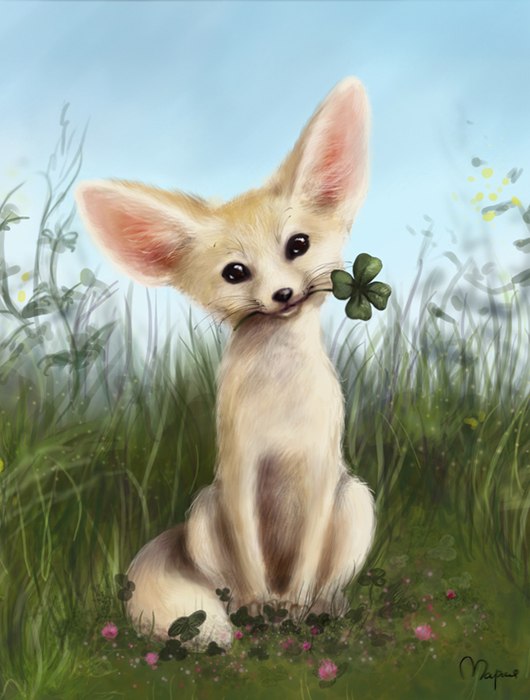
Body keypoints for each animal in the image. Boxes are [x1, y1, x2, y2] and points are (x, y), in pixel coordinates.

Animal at [75, 77, 375, 648]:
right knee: (227, 585)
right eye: (235, 272)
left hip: (356, 502)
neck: (280, 400)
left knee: (327, 581)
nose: (282, 294)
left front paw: (296, 610)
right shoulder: (239, 477)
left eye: (298, 245)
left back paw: (323, 608)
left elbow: (305, 567)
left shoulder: (321, 475)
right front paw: (262, 612)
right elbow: (251, 566)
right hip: (203, 512)